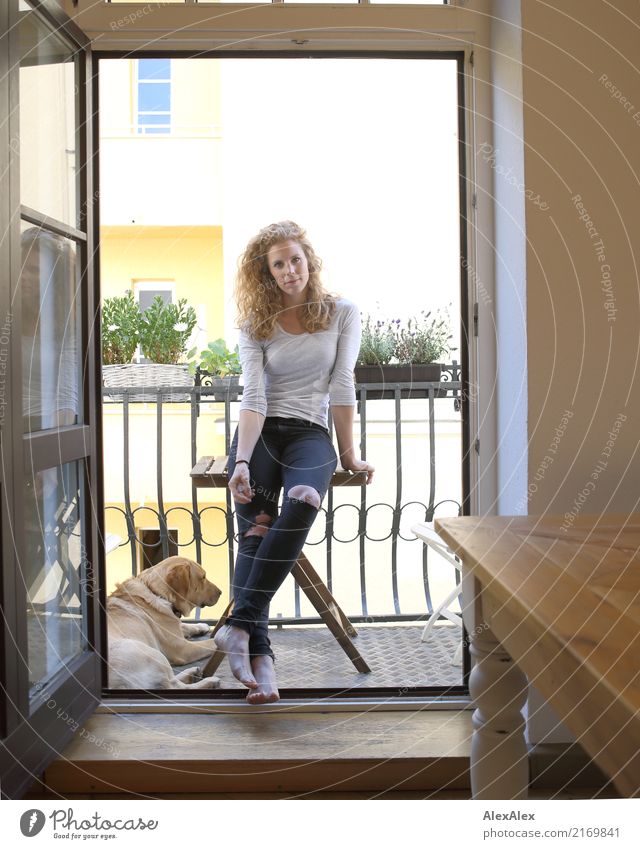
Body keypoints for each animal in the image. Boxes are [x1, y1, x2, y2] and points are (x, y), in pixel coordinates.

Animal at [108, 556, 222, 688]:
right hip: (149, 653)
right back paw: (209, 681)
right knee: (175, 685)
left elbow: (183, 625)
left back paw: (192, 673)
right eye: (203, 577)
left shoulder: (173, 624)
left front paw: (202, 626)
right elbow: (212, 642)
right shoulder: (183, 648)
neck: (156, 593)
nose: (221, 592)